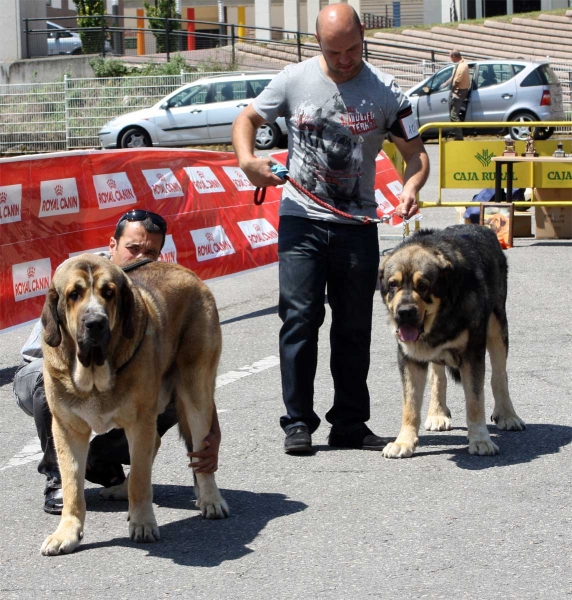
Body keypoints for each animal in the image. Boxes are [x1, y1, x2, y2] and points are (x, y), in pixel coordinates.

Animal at [38, 252, 228, 552]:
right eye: (74, 294)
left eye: (109, 293)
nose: (96, 322)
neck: (94, 373)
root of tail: (191, 275)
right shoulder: (67, 429)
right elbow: (71, 485)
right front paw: (67, 532)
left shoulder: (139, 422)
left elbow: (140, 478)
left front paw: (143, 524)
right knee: (156, 445)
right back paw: (120, 489)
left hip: (196, 393)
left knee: (200, 449)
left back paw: (211, 499)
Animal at [378, 225, 524, 460]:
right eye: (393, 284)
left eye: (423, 285)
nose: (405, 312)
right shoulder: (409, 358)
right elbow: (410, 404)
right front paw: (404, 442)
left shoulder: (472, 354)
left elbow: (475, 401)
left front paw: (480, 440)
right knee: (438, 377)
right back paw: (437, 413)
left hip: (496, 326)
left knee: (499, 376)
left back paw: (508, 415)